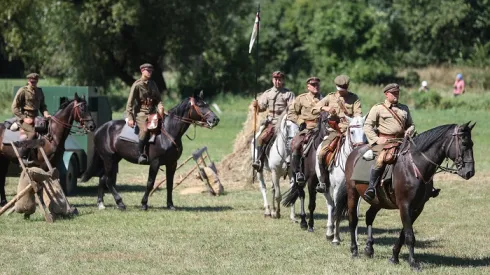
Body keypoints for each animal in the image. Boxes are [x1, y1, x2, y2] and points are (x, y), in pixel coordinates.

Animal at [81, 92, 219, 211]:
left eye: (207, 104)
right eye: (200, 105)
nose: (215, 119)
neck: (168, 131)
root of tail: (100, 129)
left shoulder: (172, 164)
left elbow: (170, 184)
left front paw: (170, 205)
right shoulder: (155, 163)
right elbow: (150, 183)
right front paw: (144, 204)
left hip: (113, 159)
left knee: (102, 178)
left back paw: (101, 204)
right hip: (109, 159)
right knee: (108, 180)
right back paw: (120, 203)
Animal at [316, 115, 366, 245]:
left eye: (365, 132)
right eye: (352, 132)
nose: (360, 150)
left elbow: (354, 213)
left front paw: (356, 240)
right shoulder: (337, 189)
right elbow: (336, 211)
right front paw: (335, 238)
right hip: (326, 188)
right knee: (330, 206)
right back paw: (329, 232)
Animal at [334, 123, 474, 272]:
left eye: (472, 143)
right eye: (464, 143)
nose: (470, 172)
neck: (415, 167)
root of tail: (354, 153)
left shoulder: (417, 208)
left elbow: (403, 233)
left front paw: (394, 257)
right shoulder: (405, 205)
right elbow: (409, 235)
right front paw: (413, 263)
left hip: (379, 201)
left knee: (369, 216)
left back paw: (369, 248)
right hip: (352, 194)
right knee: (353, 220)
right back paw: (354, 250)